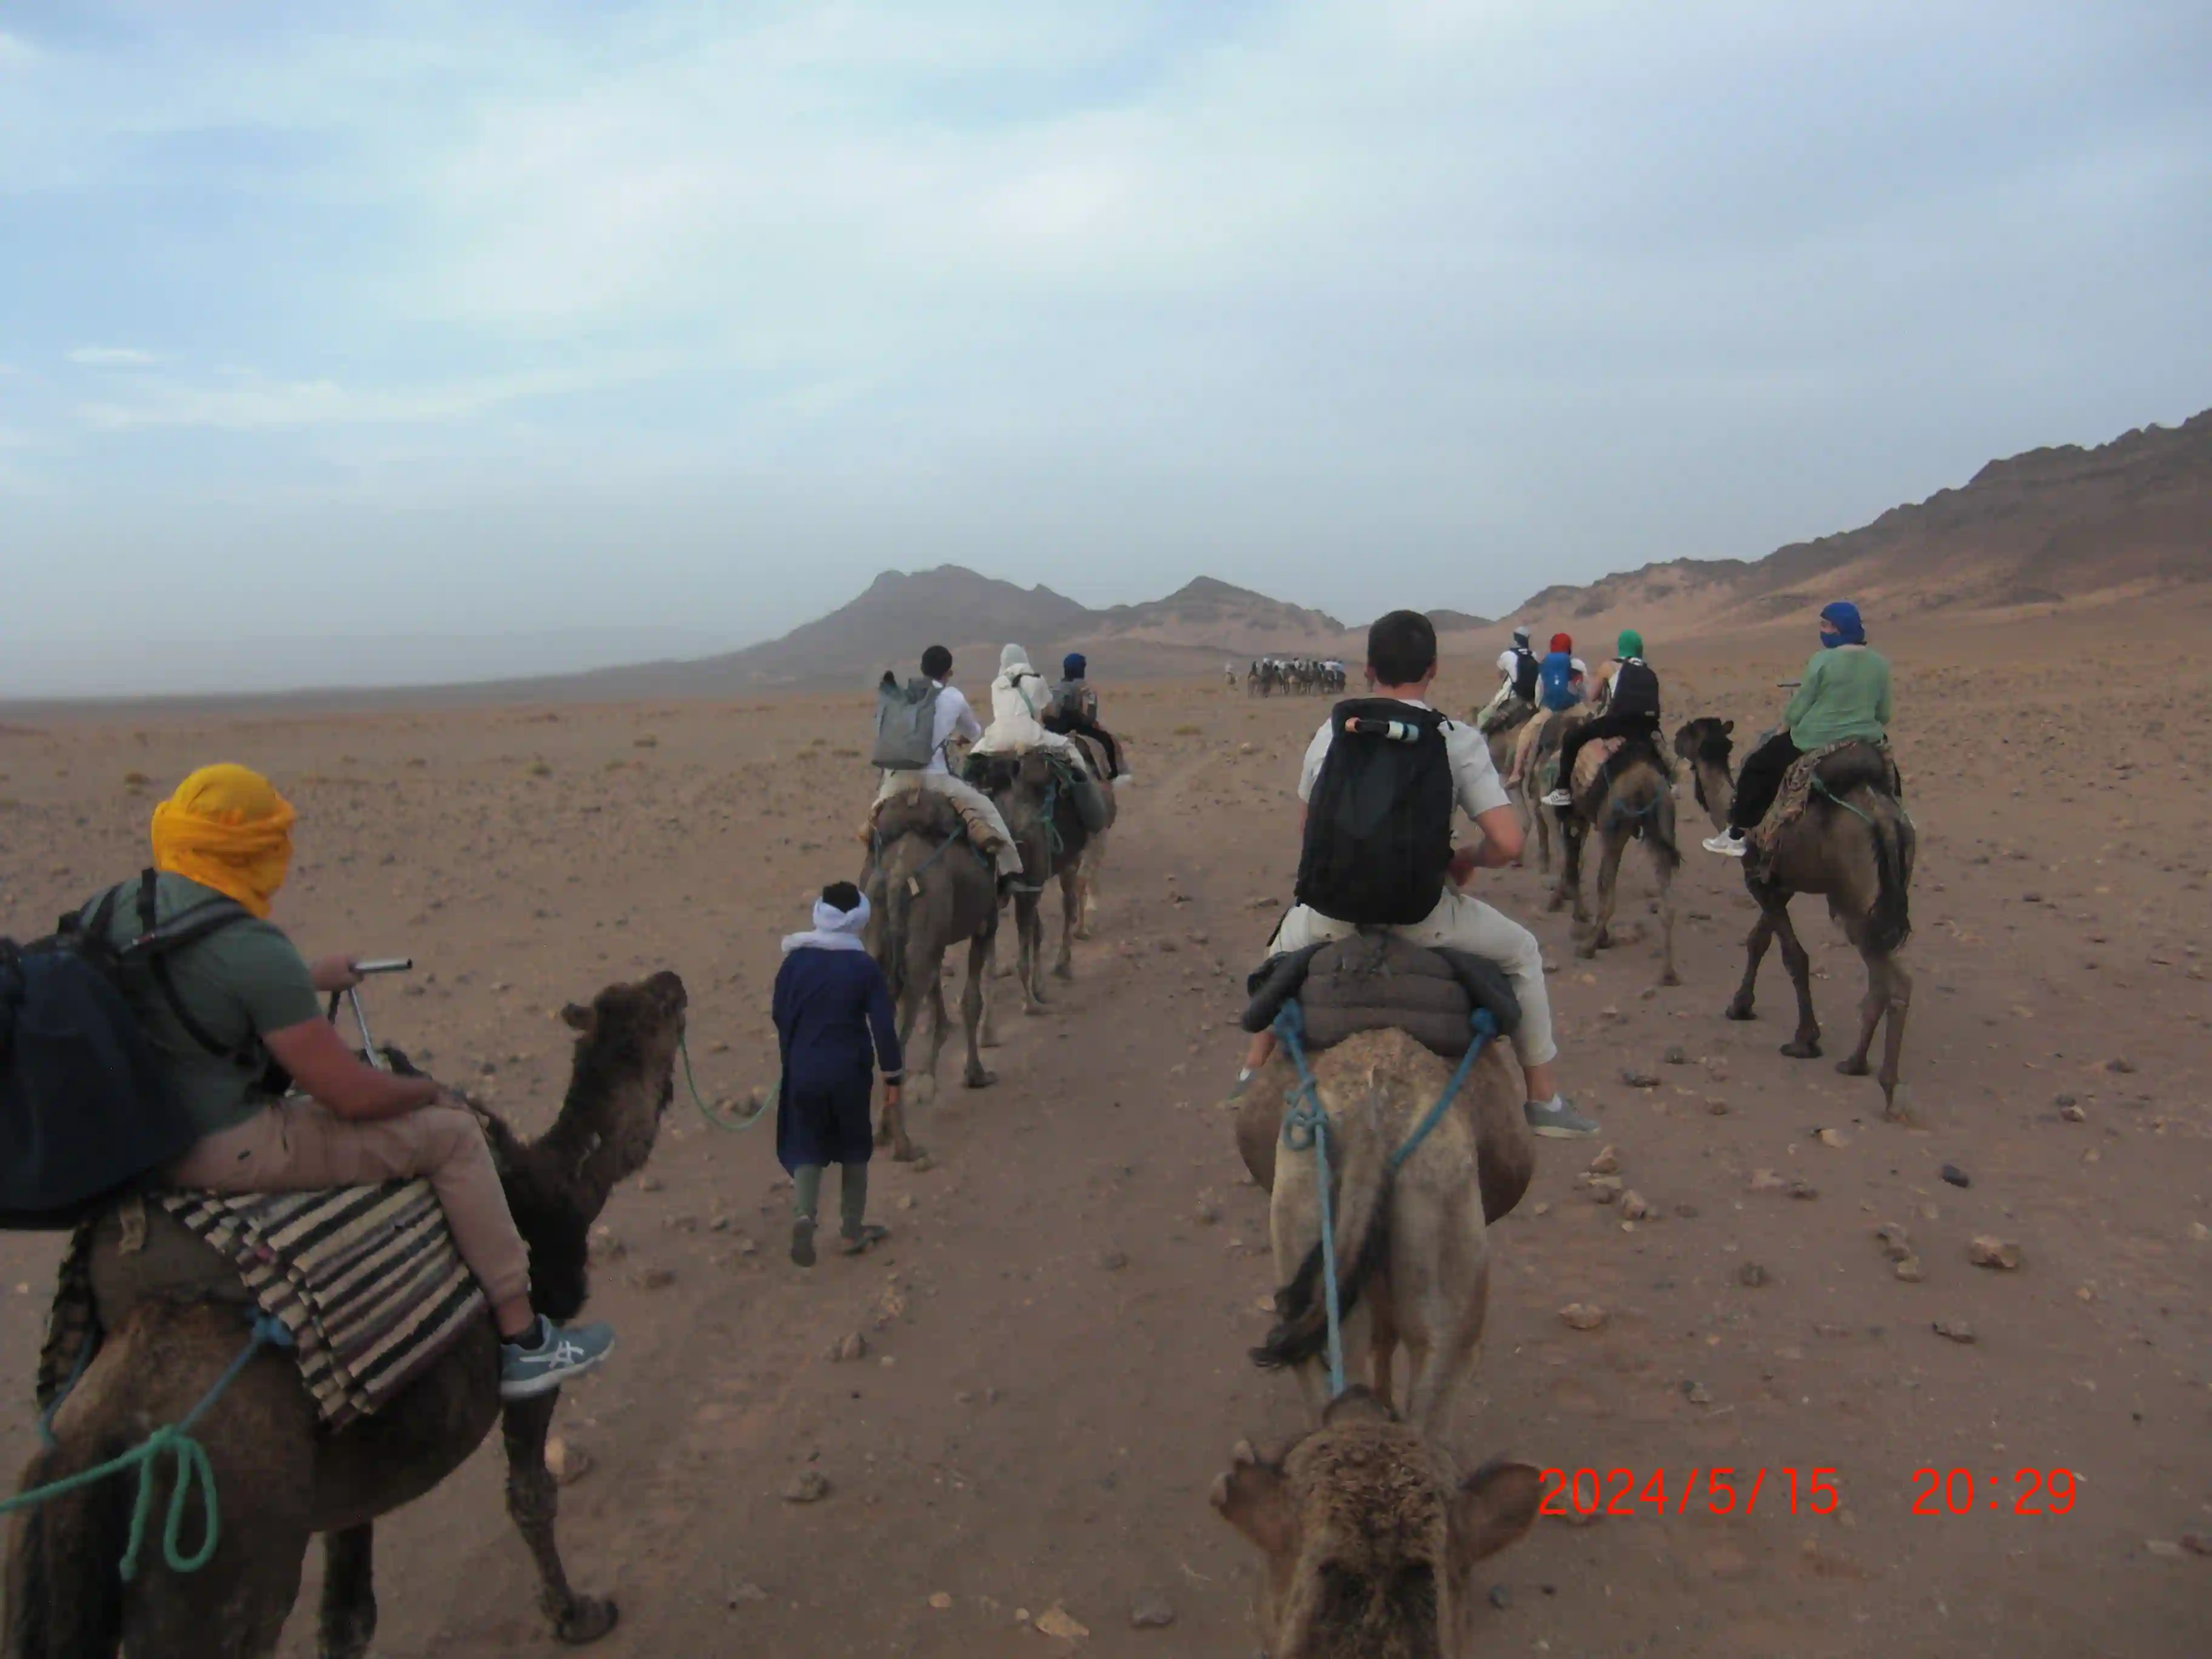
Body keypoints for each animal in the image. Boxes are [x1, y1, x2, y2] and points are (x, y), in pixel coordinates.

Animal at [4, 971, 688, 1659]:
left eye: (638, 993)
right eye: (658, 1009)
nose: (673, 979)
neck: (560, 1187)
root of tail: (91, 1446)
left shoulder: (359, 1464)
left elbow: (347, 1618)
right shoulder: (528, 1372)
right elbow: (531, 1496)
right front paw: (576, 1615)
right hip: (224, 1563)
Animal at [862, 789, 1000, 1160]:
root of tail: (898, 874)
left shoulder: (934, 944)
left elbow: (940, 1000)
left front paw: (931, 1075)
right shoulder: (986, 923)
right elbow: (971, 1001)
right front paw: (976, 1074)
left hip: (882, 941)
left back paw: (881, 1132)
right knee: (898, 1036)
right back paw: (904, 1143)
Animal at [1547, 720, 1681, 988]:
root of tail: (1644, 784)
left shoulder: (1576, 818)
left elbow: (1572, 866)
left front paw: (1580, 921)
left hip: (1614, 827)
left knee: (1606, 887)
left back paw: (1589, 946)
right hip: (1661, 825)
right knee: (1667, 904)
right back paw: (1668, 973)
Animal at [1674, 717, 1916, 1114]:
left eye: (1691, 733)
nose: (1674, 739)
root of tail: (1884, 821)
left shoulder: (1758, 880)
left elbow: (1793, 956)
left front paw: (1805, 1039)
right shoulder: (1779, 884)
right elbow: (1759, 941)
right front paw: (1741, 1005)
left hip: (1854, 904)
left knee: (1894, 982)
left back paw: (1884, 1083)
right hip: (1878, 901)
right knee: (1882, 980)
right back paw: (1855, 1062)